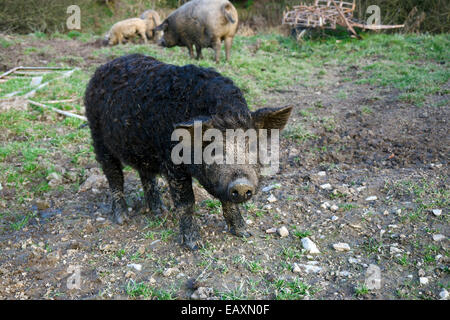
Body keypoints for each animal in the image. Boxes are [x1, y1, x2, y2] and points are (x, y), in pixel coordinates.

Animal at [84, 54, 294, 250]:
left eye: (253, 146)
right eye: (214, 149)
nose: (241, 185)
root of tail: (103, 68)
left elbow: (228, 202)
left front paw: (244, 233)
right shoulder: (172, 163)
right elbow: (186, 202)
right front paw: (194, 245)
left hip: (142, 149)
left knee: (146, 175)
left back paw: (160, 211)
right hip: (98, 137)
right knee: (114, 176)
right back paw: (122, 218)